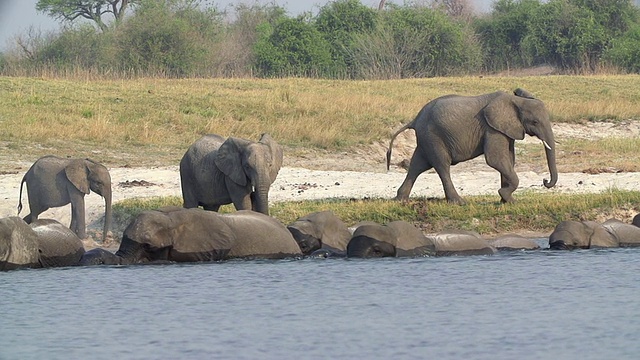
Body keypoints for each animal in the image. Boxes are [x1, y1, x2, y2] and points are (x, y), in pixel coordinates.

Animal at [384, 88, 556, 204]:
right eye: (535, 122)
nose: (545, 180)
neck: (515, 100)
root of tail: (415, 119)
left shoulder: (504, 129)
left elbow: (509, 159)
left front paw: (507, 201)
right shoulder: (491, 128)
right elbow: (495, 159)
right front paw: (504, 195)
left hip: (426, 138)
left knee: (418, 165)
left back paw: (400, 200)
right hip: (434, 136)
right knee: (442, 165)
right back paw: (459, 202)